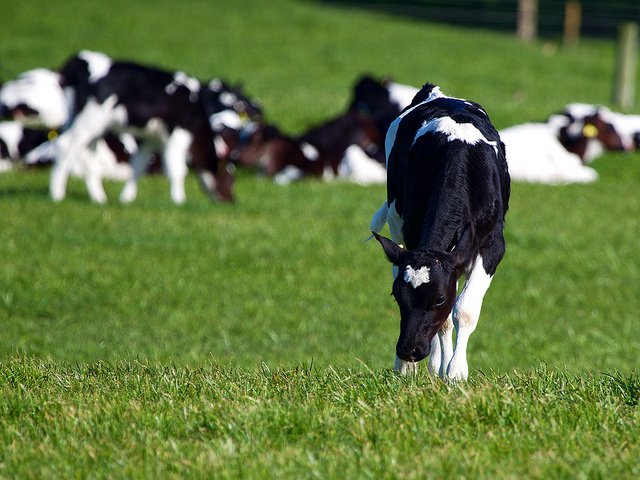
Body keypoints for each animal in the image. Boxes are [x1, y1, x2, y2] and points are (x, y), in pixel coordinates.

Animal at [370, 83, 510, 382]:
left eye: (439, 299)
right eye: (396, 296)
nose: (408, 350)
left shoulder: (492, 247)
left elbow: (464, 310)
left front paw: (456, 372)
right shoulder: (412, 236)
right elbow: (445, 322)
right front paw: (438, 368)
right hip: (396, 227)